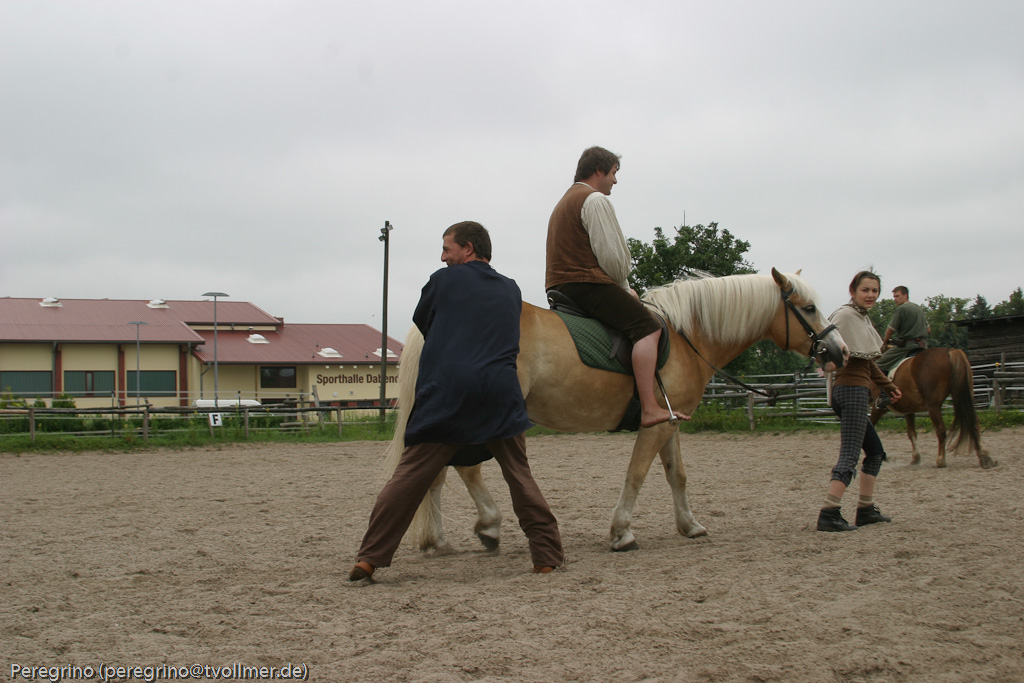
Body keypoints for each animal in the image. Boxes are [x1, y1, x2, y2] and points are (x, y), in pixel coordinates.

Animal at [382, 268, 848, 553]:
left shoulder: (672, 421)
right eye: (808, 308)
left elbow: (677, 475)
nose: (840, 351)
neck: (687, 337)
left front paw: (690, 525)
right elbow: (637, 473)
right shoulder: (656, 424)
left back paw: (443, 539)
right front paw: (622, 531)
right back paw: (487, 524)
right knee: (465, 468)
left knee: (439, 472)